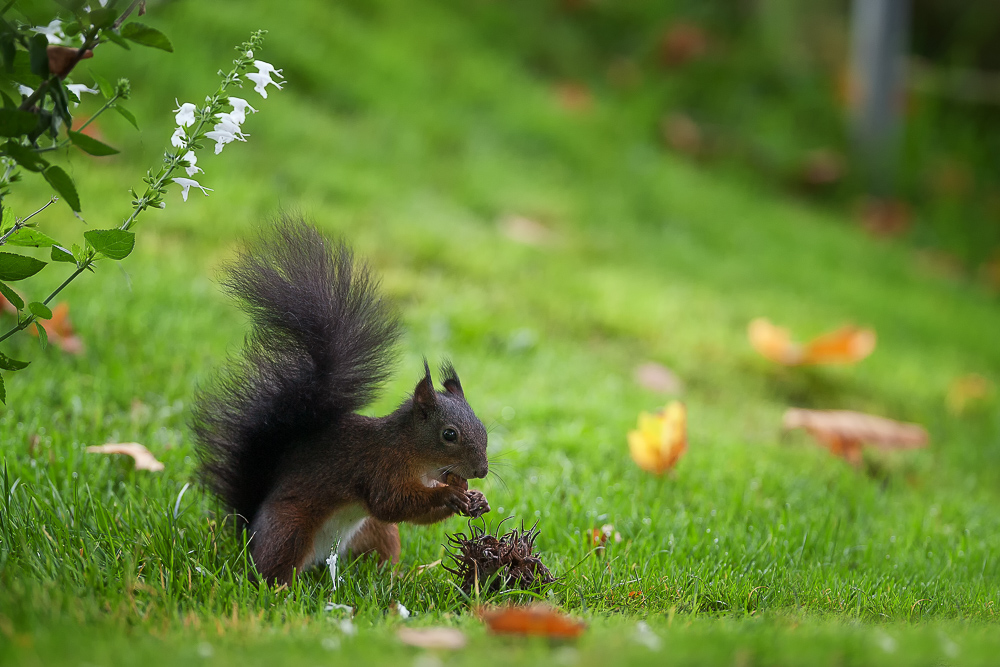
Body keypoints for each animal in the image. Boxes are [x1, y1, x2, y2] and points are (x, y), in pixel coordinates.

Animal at [189, 218, 490, 584]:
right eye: (449, 435)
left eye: (483, 428)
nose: (482, 471)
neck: (415, 454)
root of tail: (250, 532)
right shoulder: (380, 467)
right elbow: (391, 503)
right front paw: (449, 494)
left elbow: (414, 515)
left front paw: (477, 499)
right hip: (291, 528)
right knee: (272, 567)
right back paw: (281, 590)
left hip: (377, 533)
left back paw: (391, 578)